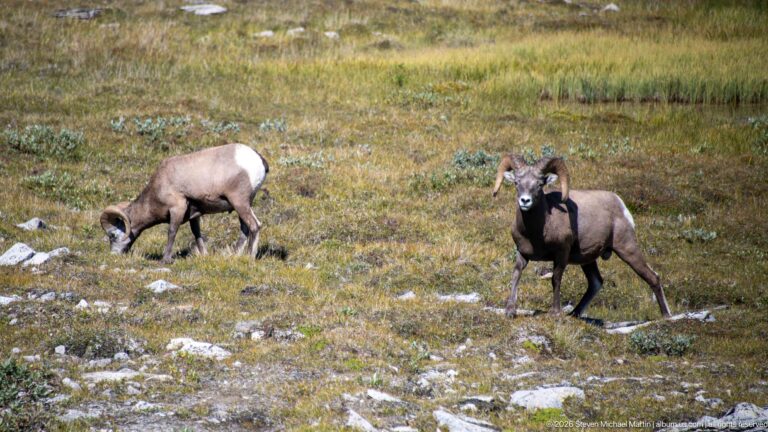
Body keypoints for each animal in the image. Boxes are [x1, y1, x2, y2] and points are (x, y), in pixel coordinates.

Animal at [100, 143, 268, 264]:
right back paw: (235, 255)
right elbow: (196, 233)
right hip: (243, 205)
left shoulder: (177, 208)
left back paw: (249, 257)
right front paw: (204, 255)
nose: (114, 255)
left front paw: (165, 260)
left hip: (239, 202)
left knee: (254, 226)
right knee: (245, 228)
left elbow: (172, 231)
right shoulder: (195, 214)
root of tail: (258, 159)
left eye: (113, 235)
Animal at [492, 154, 671, 318]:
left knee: (652, 277)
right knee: (596, 283)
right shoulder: (522, 253)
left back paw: (666, 316)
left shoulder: (561, 254)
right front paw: (509, 311)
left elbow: (556, 278)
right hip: (588, 259)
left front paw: (555, 313)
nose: (525, 201)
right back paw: (574, 314)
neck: (537, 232)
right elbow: (516, 274)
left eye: (539, 184)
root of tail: (620, 204)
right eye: (517, 183)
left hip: (627, 249)